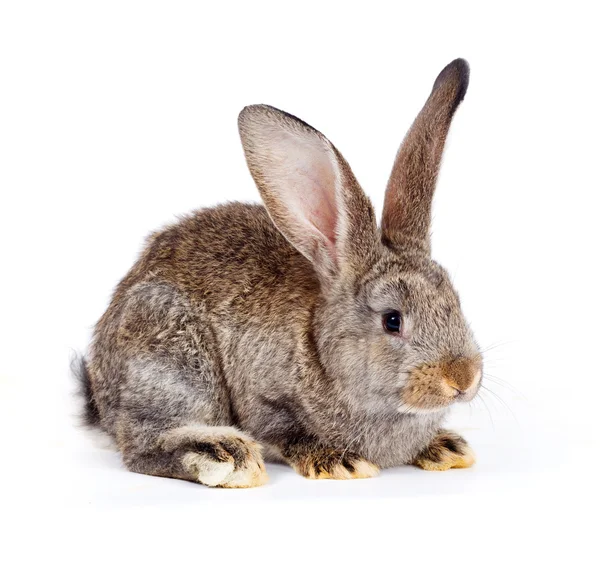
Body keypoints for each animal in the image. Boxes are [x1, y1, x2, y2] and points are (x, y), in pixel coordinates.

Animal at [79, 58, 482, 490]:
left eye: (456, 304)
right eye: (393, 320)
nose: (463, 377)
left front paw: (444, 448)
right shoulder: (263, 399)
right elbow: (284, 430)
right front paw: (338, 461)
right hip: (171, 359)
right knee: (142, 443)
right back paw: (226, 456)